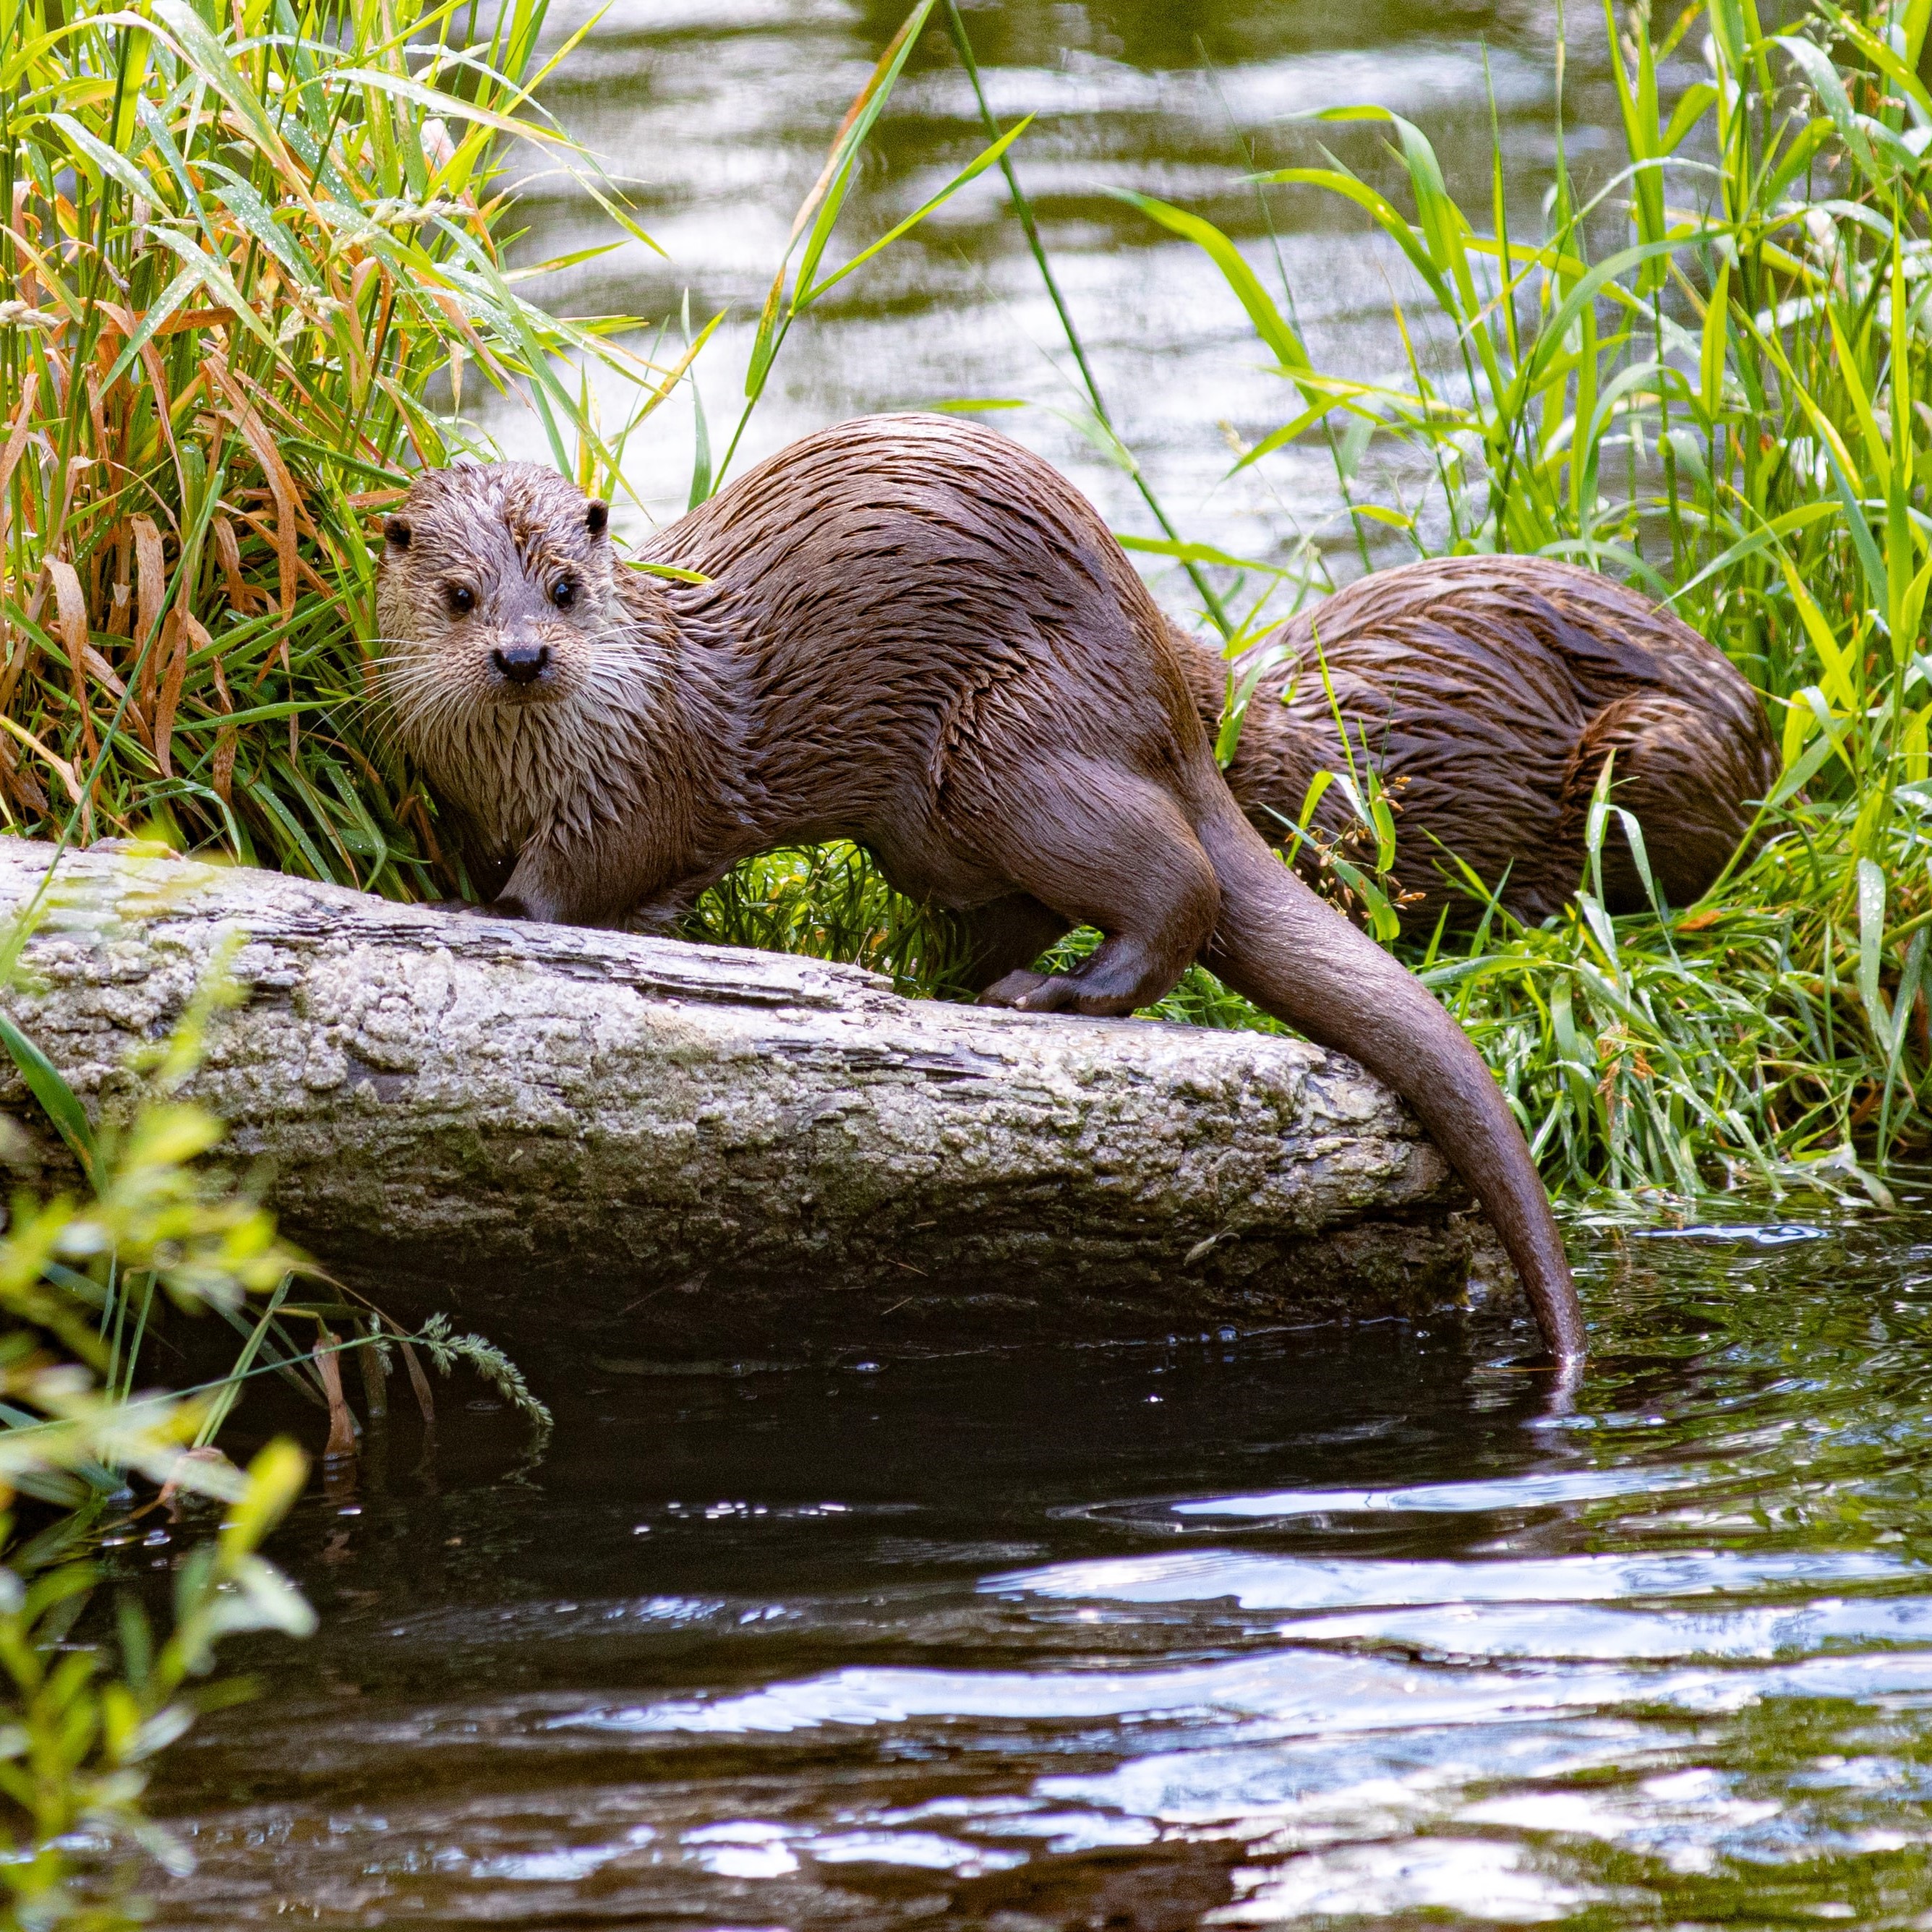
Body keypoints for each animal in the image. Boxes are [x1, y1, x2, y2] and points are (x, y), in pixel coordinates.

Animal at [372, 415, 1584, 1367]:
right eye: (461, 596)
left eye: (566, 589)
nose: (523, 656)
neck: (529, 762)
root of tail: (1166, 688)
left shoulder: (642, 778)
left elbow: (587, 876)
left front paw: (485, 914)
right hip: (932, 829)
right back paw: (935, 973)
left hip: (1008, 747)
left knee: (1177, 881)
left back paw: (1051, 994)